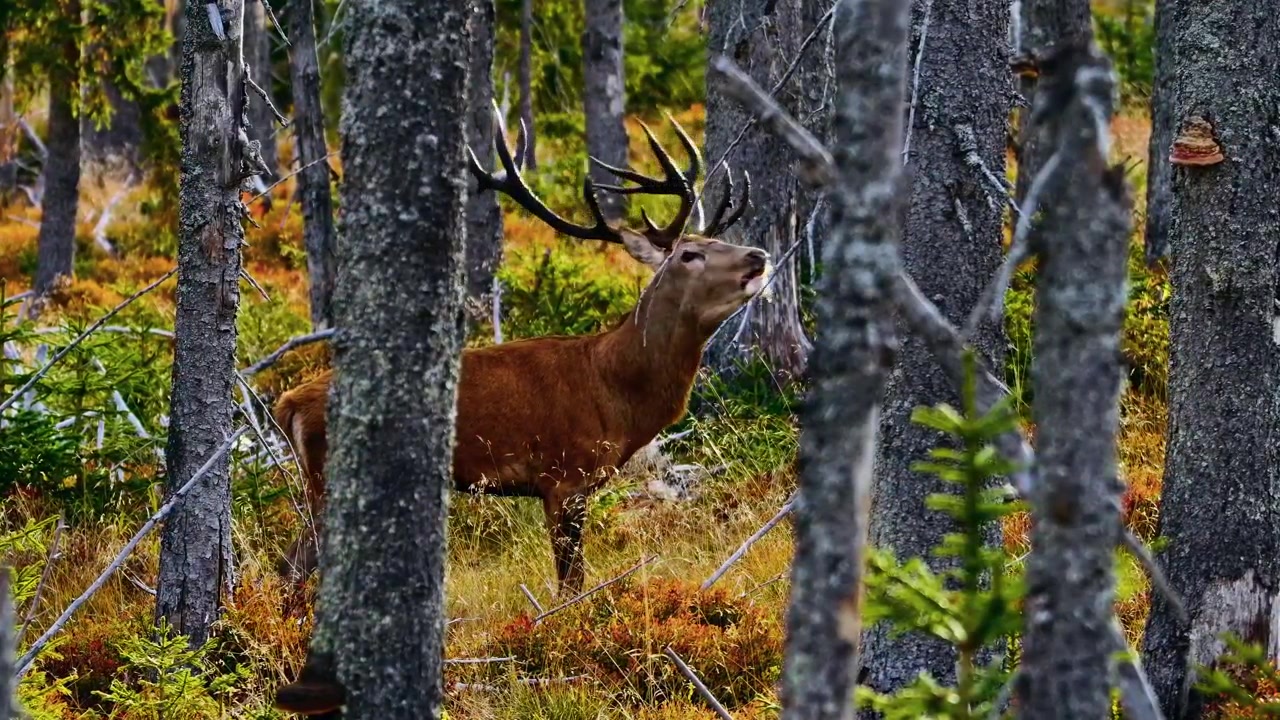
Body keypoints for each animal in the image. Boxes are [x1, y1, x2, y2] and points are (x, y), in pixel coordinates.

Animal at [271, 108, 768, 599]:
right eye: (689, 254)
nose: (758, 255)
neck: (616, 393)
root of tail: (286, 403)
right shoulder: (563, 477)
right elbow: (571, 584)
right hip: (326, 480)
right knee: (290, 567)